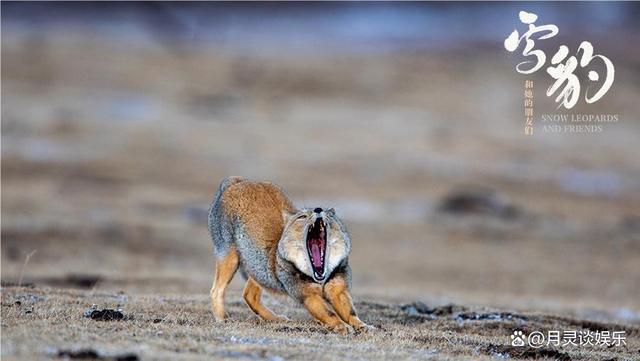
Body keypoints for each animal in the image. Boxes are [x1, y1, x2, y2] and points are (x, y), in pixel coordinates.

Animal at [208, 176, 372, 334]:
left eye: (329, 215)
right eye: (303, 216)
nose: (318, 209)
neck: (320, 278)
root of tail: (237, 181)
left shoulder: (338, 289)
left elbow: (350, 313)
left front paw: (362, 326)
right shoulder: (307, 295)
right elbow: (330, 313)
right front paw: (341, 326)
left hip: (258, 272)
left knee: (248, 295)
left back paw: (275, 319)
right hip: (231, 260)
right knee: (216, 291)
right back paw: (222, 319)